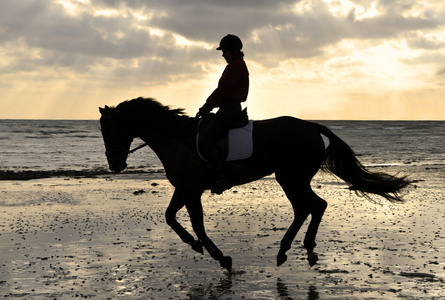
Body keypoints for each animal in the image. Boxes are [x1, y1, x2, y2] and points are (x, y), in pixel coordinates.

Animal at [99, 97, 410, 270]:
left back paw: (301, 248)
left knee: (313, 206)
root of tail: (311, 126)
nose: (115, 165)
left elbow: (197, 225)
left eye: (108, 130)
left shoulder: (192, 191)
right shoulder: (184, 188)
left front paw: (220, 257)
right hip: (291, 178)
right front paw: (195, 246)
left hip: (291, 178)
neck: (178, 139)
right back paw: (289, 250)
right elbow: (170, 218)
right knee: (308, 208)